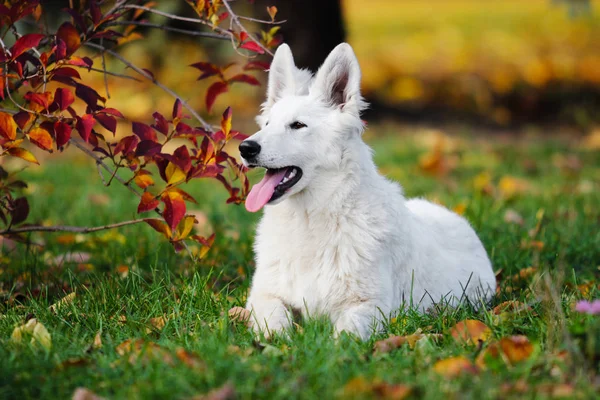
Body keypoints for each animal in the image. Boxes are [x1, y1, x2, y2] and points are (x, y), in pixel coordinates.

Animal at [239, 42, 496, 340]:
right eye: (267, 124)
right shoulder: (264, 296)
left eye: (298, 125)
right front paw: (278, 343)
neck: (311, 218)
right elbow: (275, 323)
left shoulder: (370, 305)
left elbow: (343, 336)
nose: (245, 148)